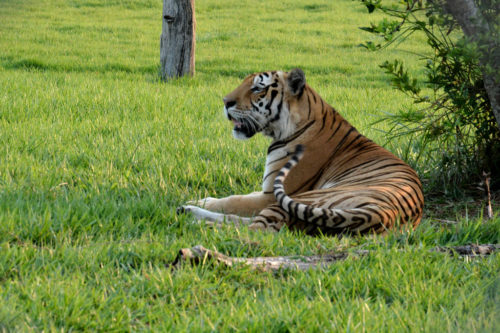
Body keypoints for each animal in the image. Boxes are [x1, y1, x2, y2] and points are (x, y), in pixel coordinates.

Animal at [178, 68, 424, 233]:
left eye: (257, 88)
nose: (225, 101)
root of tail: (381, 213)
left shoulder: (270, 195)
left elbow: (233, 201)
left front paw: (199, 201)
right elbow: (236, 196)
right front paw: (199, 199)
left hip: (303, 199)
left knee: (255, 229)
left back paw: (194, 221)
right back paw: (187, 212)